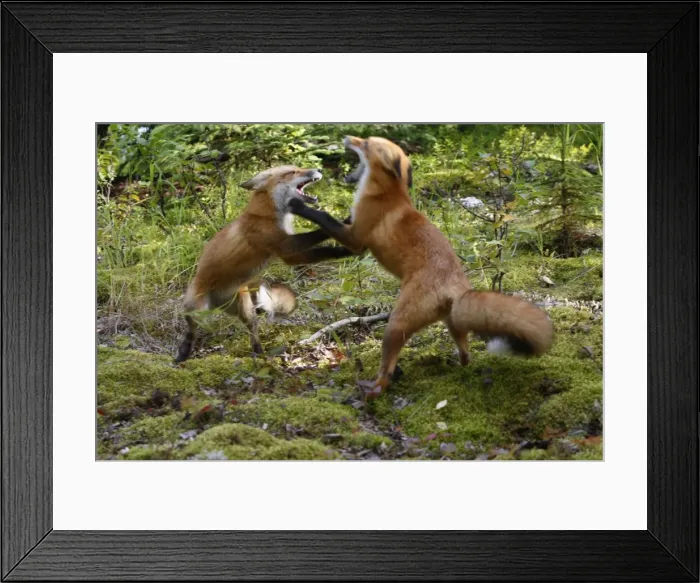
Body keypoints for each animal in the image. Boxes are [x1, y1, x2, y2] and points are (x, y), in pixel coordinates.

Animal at [175, 165, 353, 363]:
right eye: (292, 172)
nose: (319, 169)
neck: (271, 215)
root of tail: (217, 301)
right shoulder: (284, 246)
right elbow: (319, 234)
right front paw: (342, 238)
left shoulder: (289, 254)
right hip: (196, 309)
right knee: (191, 330)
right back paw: (183, 353)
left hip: (245, 310)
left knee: (252, 332)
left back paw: (260, 354)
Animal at [289, 136, 554, 398]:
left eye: (365, 143)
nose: (346, 138)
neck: (384, 193)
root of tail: (457, 288)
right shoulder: (353, 234)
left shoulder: (356, 239)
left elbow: (324, 217)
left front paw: (298, 206)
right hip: (452, 325)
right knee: (466, 353)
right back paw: (458, 369)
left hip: (395, 325)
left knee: (386, 370)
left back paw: (373, 390)